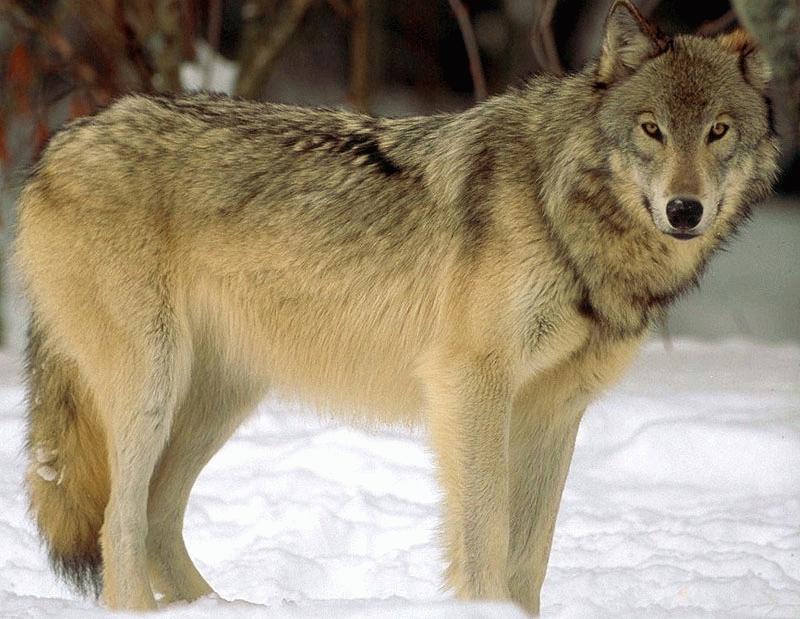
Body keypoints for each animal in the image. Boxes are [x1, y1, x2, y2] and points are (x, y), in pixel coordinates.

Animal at [15, 1, 778, 613]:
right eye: (651, 129)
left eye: (717, 131)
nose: (685, 210)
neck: (563, 212)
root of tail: (62, 143)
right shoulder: (471, 384)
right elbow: (487, 537)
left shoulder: (555, 410)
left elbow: (531, 556)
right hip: (155, 386)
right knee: (119, 525)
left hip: (219, 398)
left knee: (156, 520)